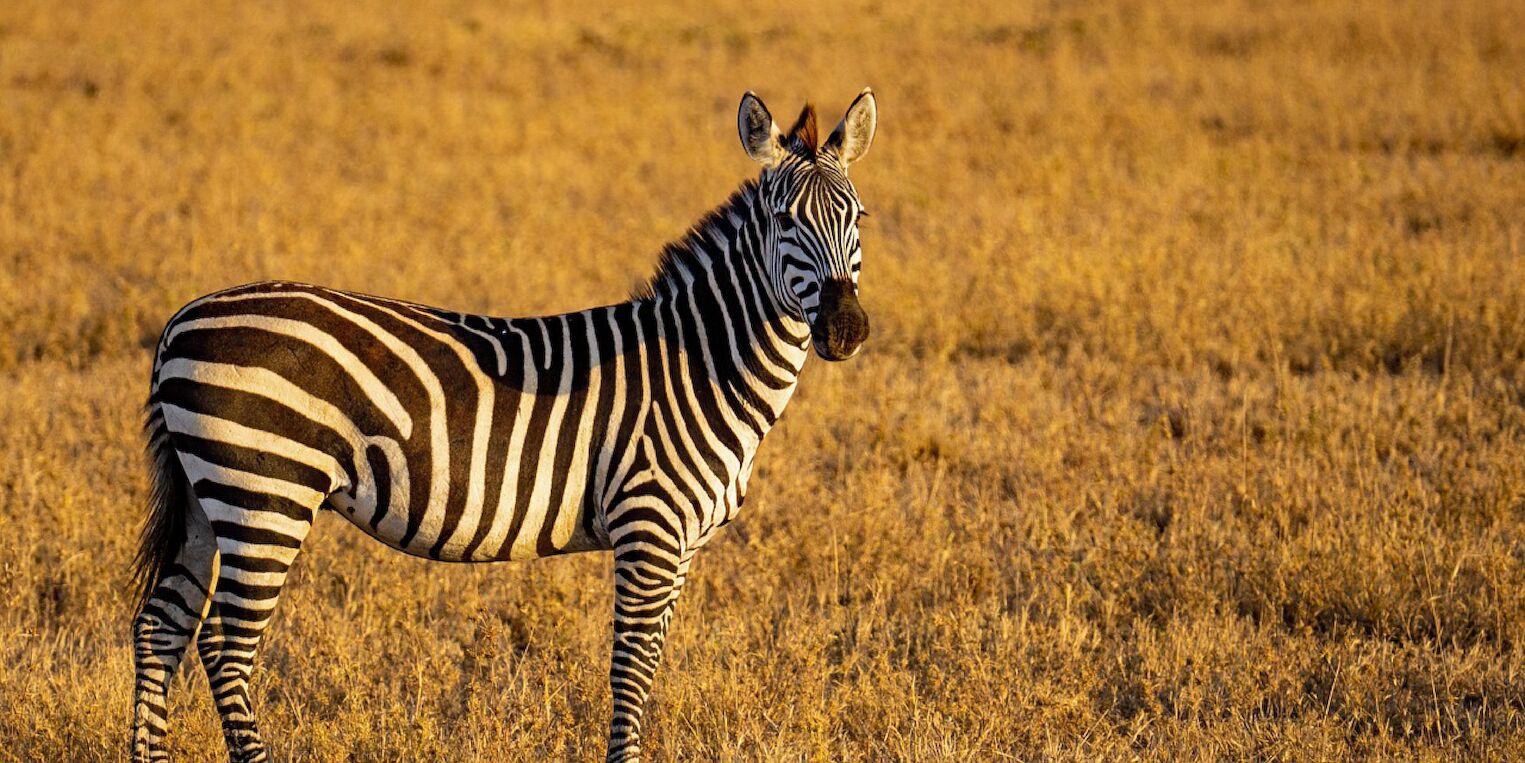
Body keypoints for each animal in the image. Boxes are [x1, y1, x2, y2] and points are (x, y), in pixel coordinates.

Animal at [129, 88, 877, 762]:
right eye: (783, 220)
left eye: (859, 216)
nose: (844, 328)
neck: (700, 363)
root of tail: (181, 319)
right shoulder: (649, 525)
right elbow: (631, 670)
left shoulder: (684, 544)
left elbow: (649, 663)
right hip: (265, 494)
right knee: (224, 646)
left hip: (209, 494)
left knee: (160, 628)